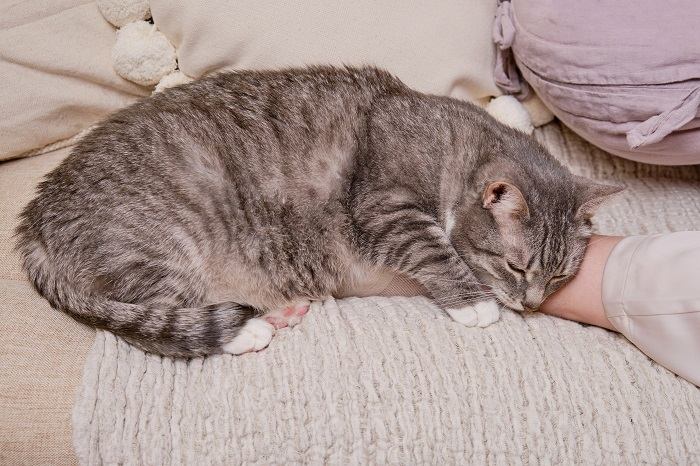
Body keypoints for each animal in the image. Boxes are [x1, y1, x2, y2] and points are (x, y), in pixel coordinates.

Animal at [13, 65, 620, 356]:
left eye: (560, 275)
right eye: (517, 266)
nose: (533, 305)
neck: (452, 150)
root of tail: (34, 220)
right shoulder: (385, 206)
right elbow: (435, 250)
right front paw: (475, 303)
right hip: (156, 246)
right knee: (147, 320)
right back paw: (249, 330)